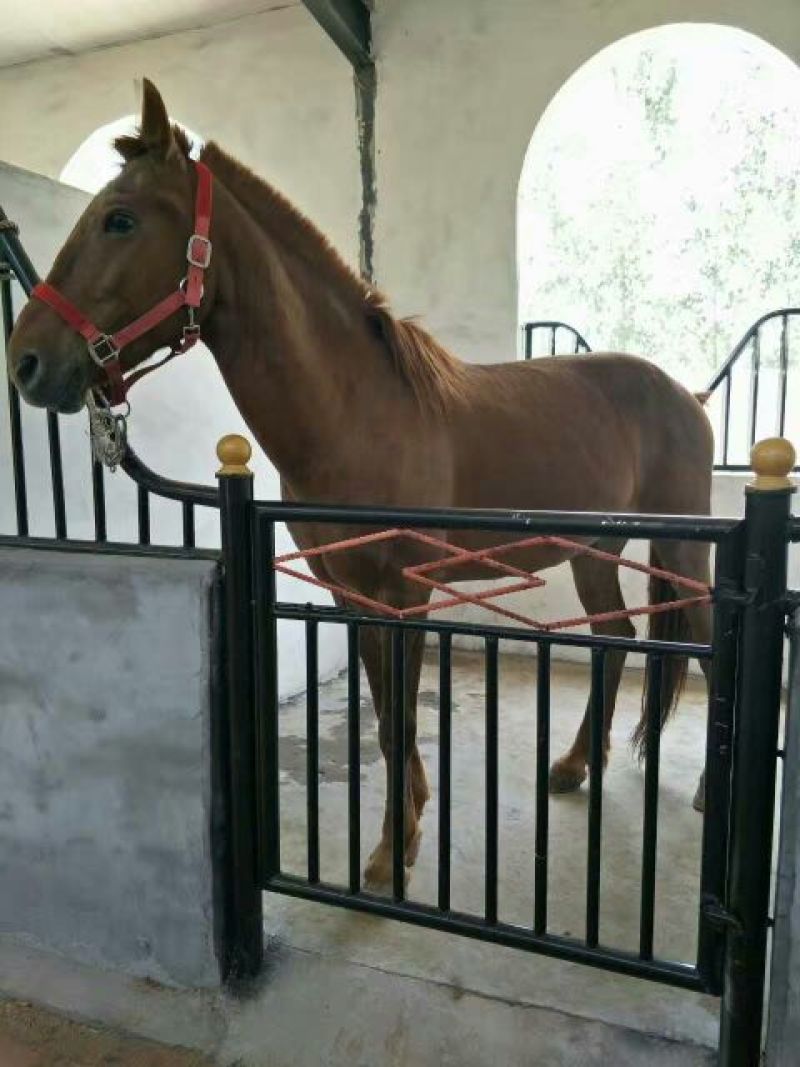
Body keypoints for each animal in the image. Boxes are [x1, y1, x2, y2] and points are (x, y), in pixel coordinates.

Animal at [7, 80, 714, 888]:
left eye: (119, 219)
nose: (26, 361)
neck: (355, 411)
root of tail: (686, 394)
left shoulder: (404, 591)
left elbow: (401, 718)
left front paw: (391, 852)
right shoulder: (351, 592)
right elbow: (381, 719)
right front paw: (405, 823)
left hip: (684, 551)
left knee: (704, 645)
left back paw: (700, 788)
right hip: (597, 549)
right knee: (616, 636)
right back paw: (571, 766)